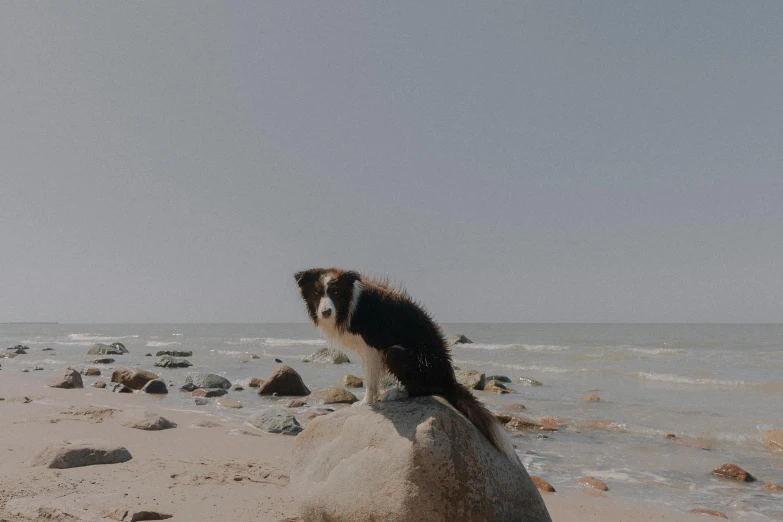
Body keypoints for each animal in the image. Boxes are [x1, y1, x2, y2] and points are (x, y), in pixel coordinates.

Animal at [294, 268, 520, 464]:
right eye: (317, 292)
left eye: (335, 292)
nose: (325, 312)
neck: (350, 304)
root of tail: (448, 379)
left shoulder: (372, 347)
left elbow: (371, 378)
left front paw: (366, 402)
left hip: (397, 352)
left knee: (422, 390)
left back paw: (397, 393)